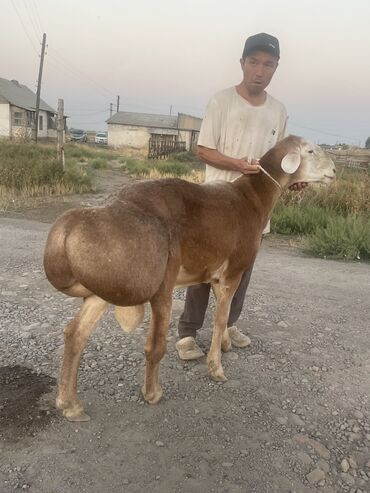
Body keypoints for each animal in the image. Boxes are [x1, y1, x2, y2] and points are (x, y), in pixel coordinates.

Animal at [42, 135, 336, 418]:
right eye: (311, 151)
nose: (334, 171)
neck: (253, 197)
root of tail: (69, 228)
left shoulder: (215, 276)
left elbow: (224, 313)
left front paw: (226, 344)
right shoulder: (233, 271)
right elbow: (219, 320)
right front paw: (216, 368)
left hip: (101, 289)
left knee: (75, 335)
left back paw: (70, 405)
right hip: (160, 282)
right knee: (154, 346)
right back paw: (152, 392)